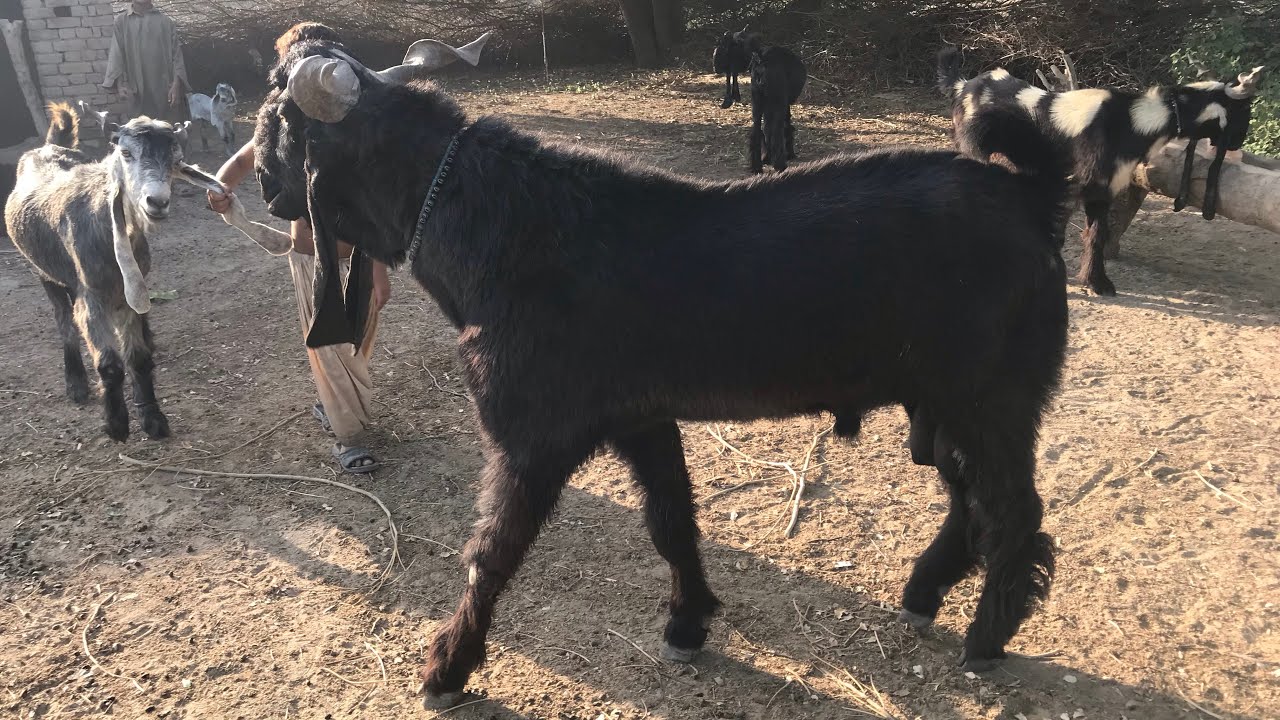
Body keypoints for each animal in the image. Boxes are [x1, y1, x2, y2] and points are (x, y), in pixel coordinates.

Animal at [4, 103, 225, 441]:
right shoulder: (93, 297)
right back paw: (76, 383)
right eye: (125, 153)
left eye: (176, 161)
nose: (156, 202)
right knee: (63, 317)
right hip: (41, 270)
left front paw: (152, 418)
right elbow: (109, 362)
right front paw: (117, 423)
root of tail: (48, 146)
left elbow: (138, 356)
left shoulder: (126, 294)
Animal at [744, 34, 806, 173]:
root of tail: (762, 59)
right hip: (778, 104)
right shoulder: (782, 104)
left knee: (757, 132)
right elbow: (785, 128)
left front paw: (767, 157)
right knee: (777, 133)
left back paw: (757, 166)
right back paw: (780, 164)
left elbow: (767, 129)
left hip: (757, 102)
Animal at [939, 46, 1265, 295]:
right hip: (974, 151)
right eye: (1244, 109)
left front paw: (1097, 283)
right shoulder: (1079, 183)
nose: (1239, 142)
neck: (1131, 120)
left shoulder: (1103, 188)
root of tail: (965, 85)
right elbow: (1065, 233)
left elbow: (1096, 234)